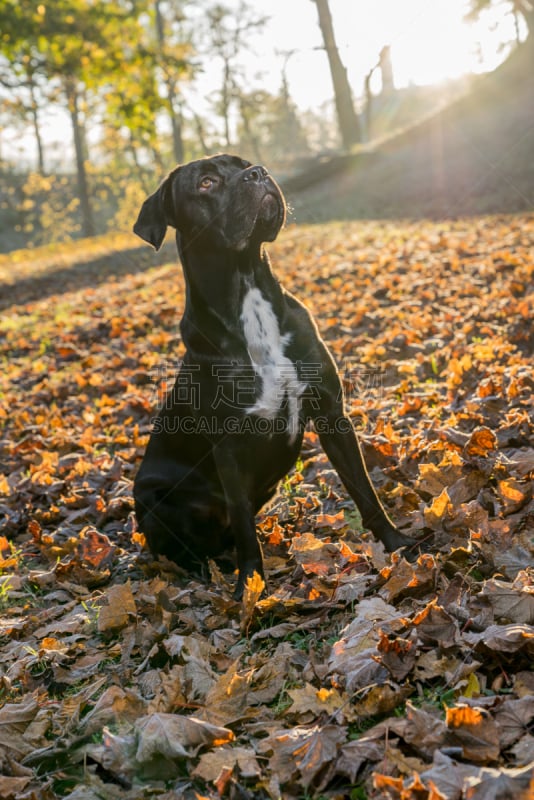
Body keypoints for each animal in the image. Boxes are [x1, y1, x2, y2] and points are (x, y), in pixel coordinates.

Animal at [133, 153, 414, 596]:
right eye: (207, 182)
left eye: (242, 164)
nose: (257, 173)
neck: (248, 288)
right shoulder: (228, 447)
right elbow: (245, 526)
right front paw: (250, 588)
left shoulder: (333, 415)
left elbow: (364, 490)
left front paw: (397, 544)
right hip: (152, 499)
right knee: (185, 549)